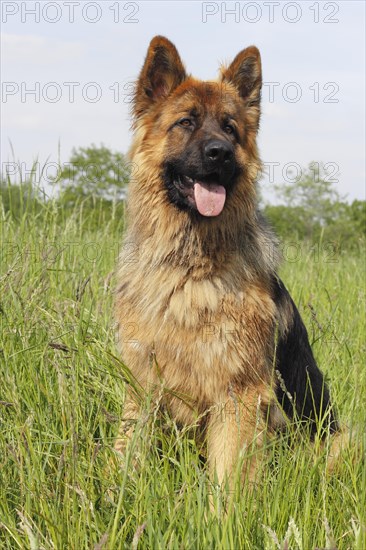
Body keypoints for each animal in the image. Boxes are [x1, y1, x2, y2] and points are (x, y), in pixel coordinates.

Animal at [115, 36, 340, 486]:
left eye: (230, 128)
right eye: (186, 122)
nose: (219, 153)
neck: (189, 266)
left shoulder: (239, 393)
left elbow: (229, 479)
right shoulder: (142, 383)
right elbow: (126, 452)